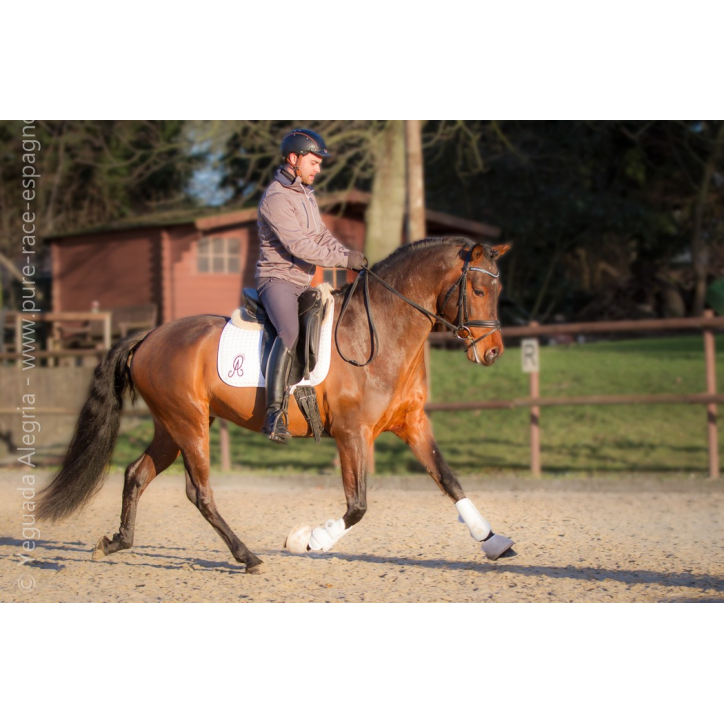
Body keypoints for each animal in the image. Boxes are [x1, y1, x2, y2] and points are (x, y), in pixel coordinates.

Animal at [37, 236, 513, 573]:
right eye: (476, 288)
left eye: (498, 288)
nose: (492, 353)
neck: (379, 333)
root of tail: (150, 335)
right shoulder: (352, 434)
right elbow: (357, 506)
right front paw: (309, 540)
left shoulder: (412, 424)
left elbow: (450, 480)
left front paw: (493, 541)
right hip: (189, 423)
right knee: (199, 493)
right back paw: (247, 557)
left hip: (171, 426)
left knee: (137, 475)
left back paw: (116, 542)